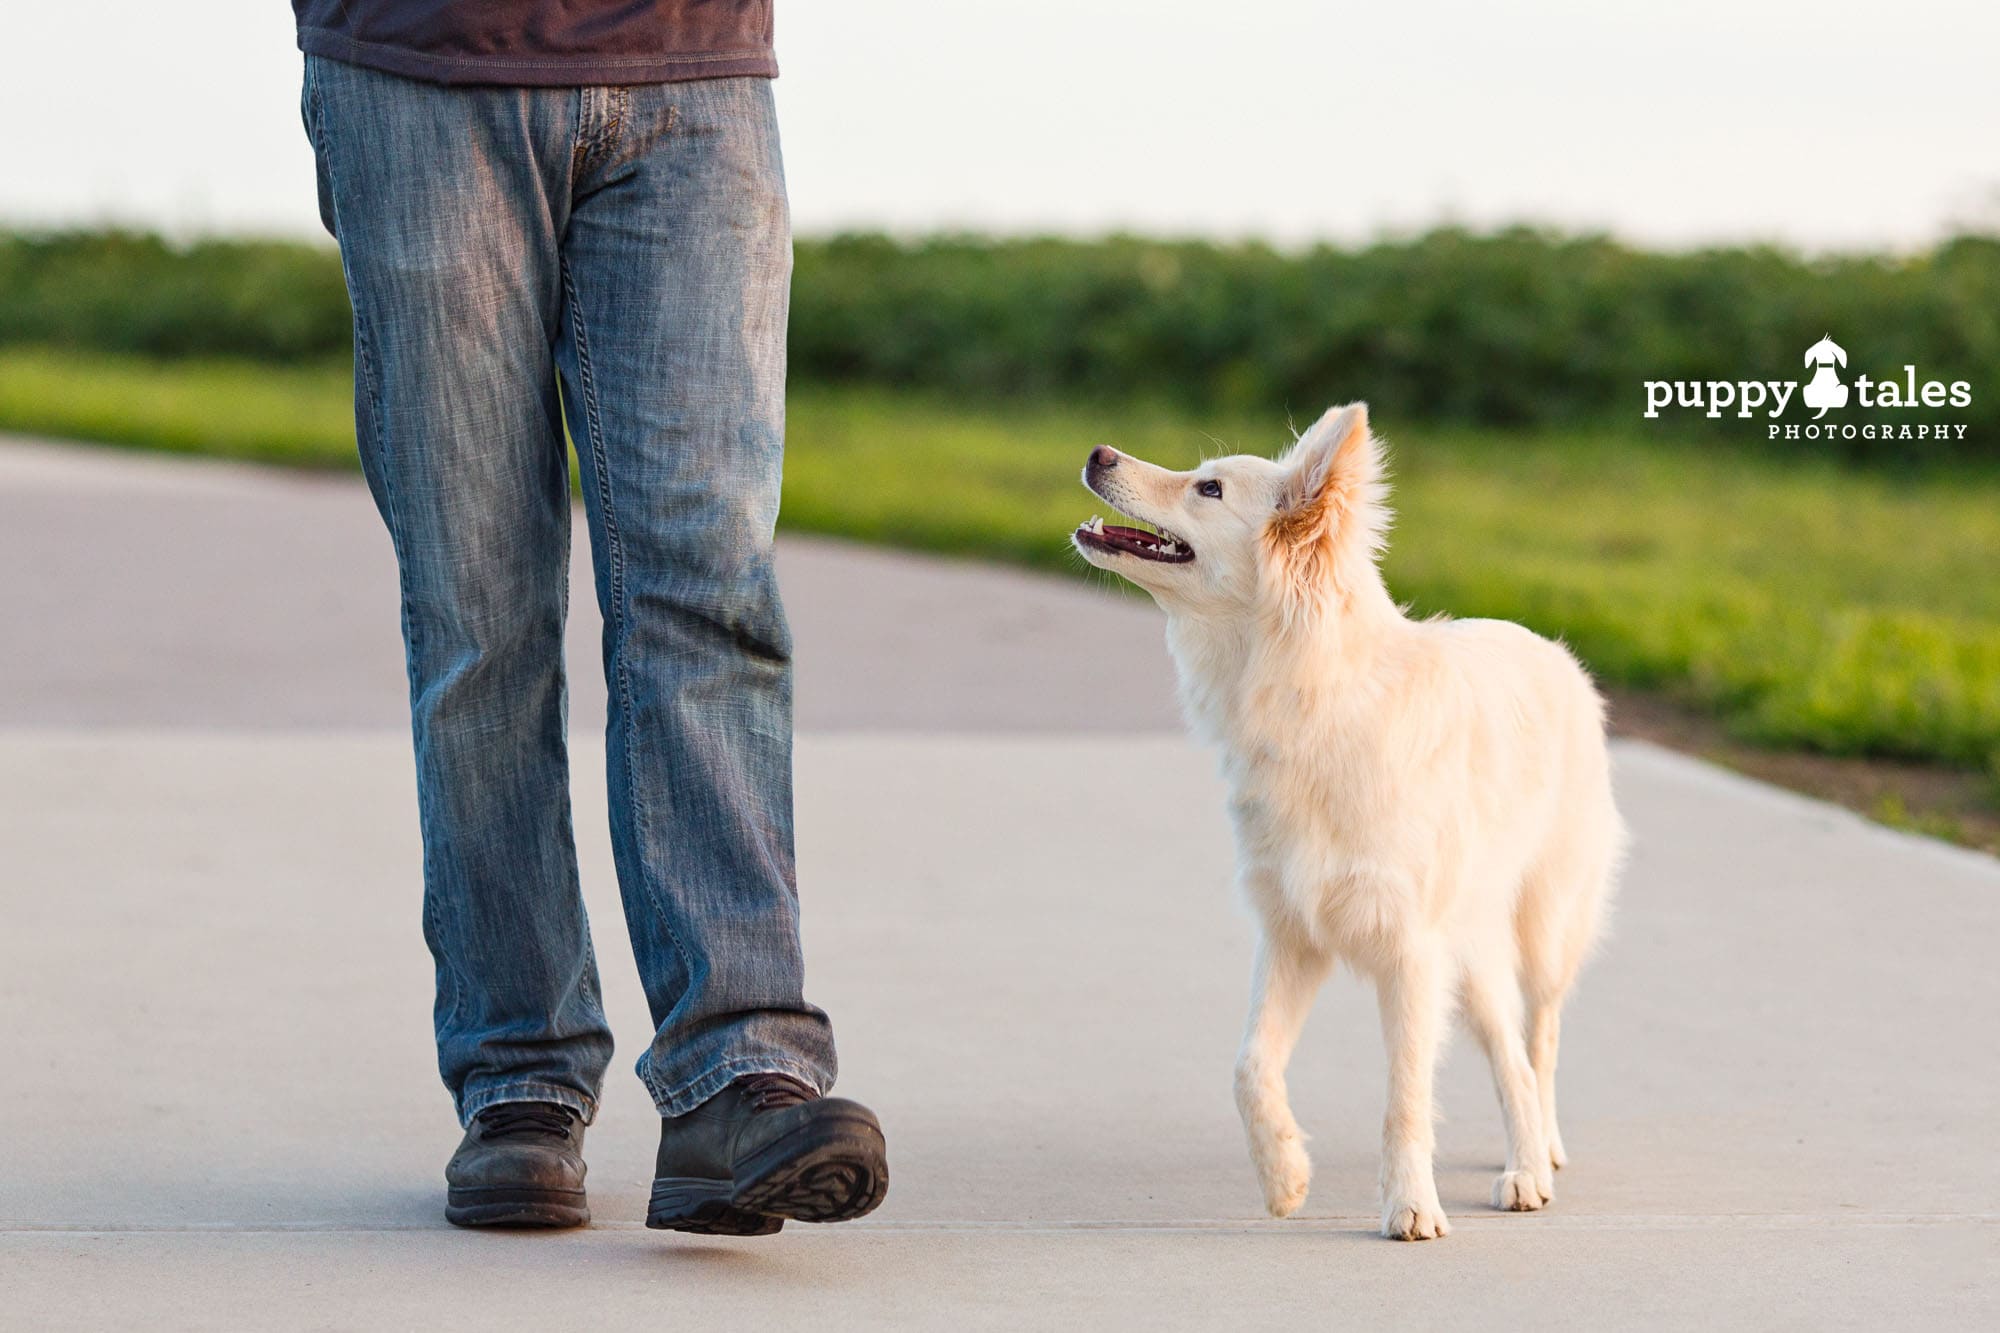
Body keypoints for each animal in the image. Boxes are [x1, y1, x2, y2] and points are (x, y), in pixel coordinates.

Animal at [1072, 402, 1616, 1232]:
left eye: (1209, 488)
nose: (1098, 452)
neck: (1313, 701)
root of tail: (1556, 654)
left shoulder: (1411, 953)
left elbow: (1405, 1098)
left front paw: (1411, 1204)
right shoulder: (1294, 934)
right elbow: (1249, 1065)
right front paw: (1284, 1173)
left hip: (1541, 930)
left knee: (1537, 1041)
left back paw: (1533, 1161)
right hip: (1473, 949)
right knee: (1510, 1049)